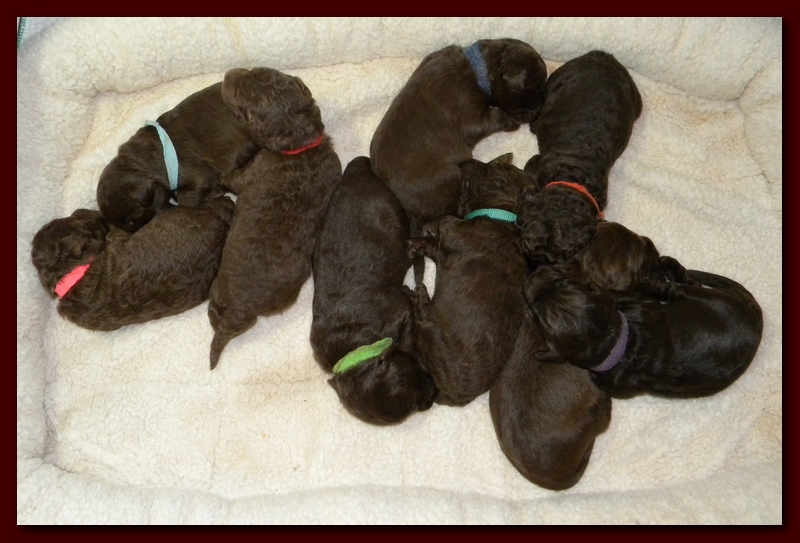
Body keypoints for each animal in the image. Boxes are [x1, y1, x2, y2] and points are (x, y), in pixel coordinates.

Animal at [208, 68, 342, 370]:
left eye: (241, 104)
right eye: (257, 70)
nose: (230, 73)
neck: (301, 145)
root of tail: (243, 308)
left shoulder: (253, 170)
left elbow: (233, 177)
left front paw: (219, 176)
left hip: (218, 287)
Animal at [370, 38, 547, 231]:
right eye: (534, 90)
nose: (540, 111)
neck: (478, 67)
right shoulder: (472, 116)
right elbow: (494, 117)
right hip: (449, 176)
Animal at [408, 154, 532, 406]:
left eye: (494, 169)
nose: (464, 162)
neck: (502, 213)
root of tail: (452, 397)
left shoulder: (451, 232)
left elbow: (441, 224)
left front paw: (422, 235)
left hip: (431, 334)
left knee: (422, 317)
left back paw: (419, 294)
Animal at [519, 50, 642, 265]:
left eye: (561, 257)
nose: (536, 266)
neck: (574, 177)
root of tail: (604, 56)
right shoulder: (535, 165)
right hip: (559, 76)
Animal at [525, 265, 763, 399]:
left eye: (563, 282)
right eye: (536, 308)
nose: (535, 272)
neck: (616, 344)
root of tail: (755, 311)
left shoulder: (635, 304)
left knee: (675, 286)